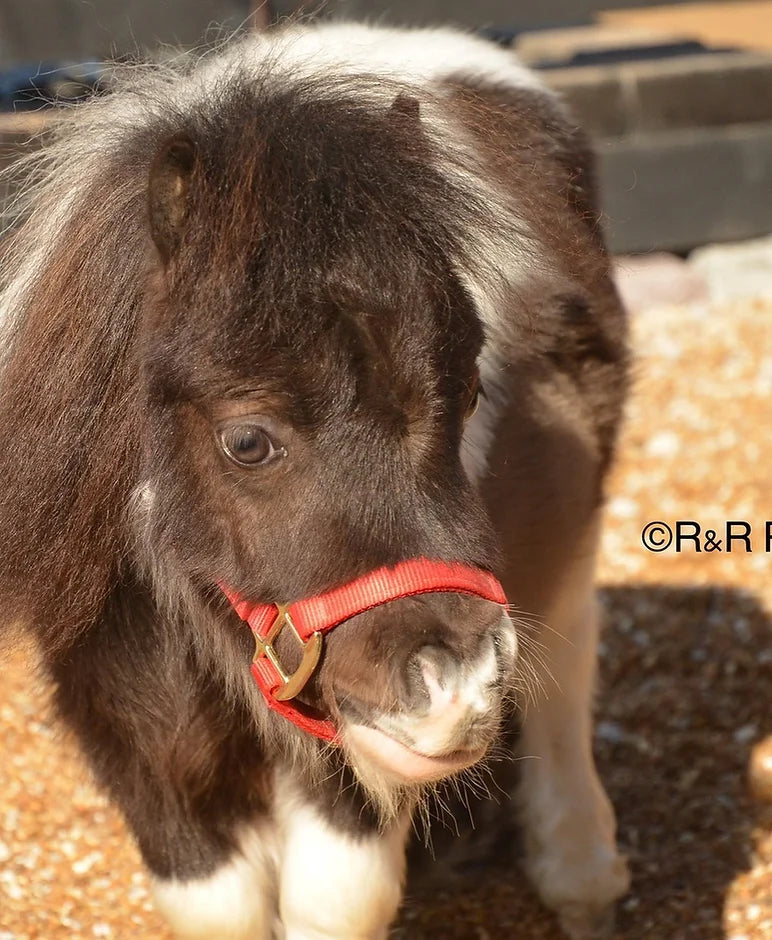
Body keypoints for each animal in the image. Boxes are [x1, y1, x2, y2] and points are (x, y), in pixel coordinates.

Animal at [0, 21, 630, 939]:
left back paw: (580, 874)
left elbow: (333, 902)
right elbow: (214, 909)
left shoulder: (349, 750)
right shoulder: (131, 732)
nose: (457, 687)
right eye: (247, 440)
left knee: (571, 643)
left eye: (471, 394)